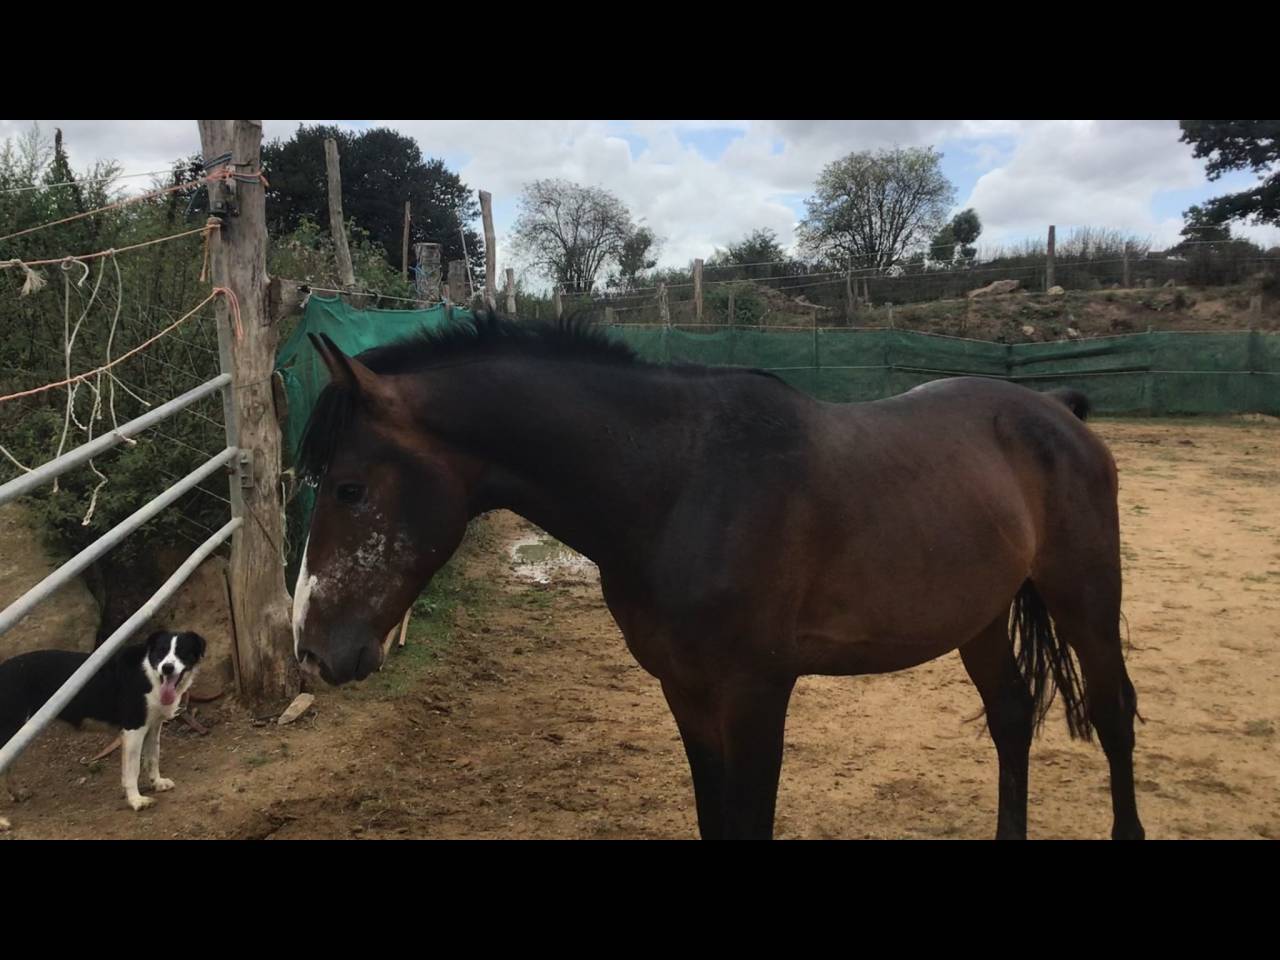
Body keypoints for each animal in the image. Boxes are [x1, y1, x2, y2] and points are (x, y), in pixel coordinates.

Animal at [290, 312, 1144, 840]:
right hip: (981, 616)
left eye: (349, 488)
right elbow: (712, 818)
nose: (312, 648)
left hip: (1086, 596)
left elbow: (749, 821)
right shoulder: (686, 690)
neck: (681, 485)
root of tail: (1055, 408)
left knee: (1113, 714)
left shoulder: (758, 692)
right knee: (1010, 715)